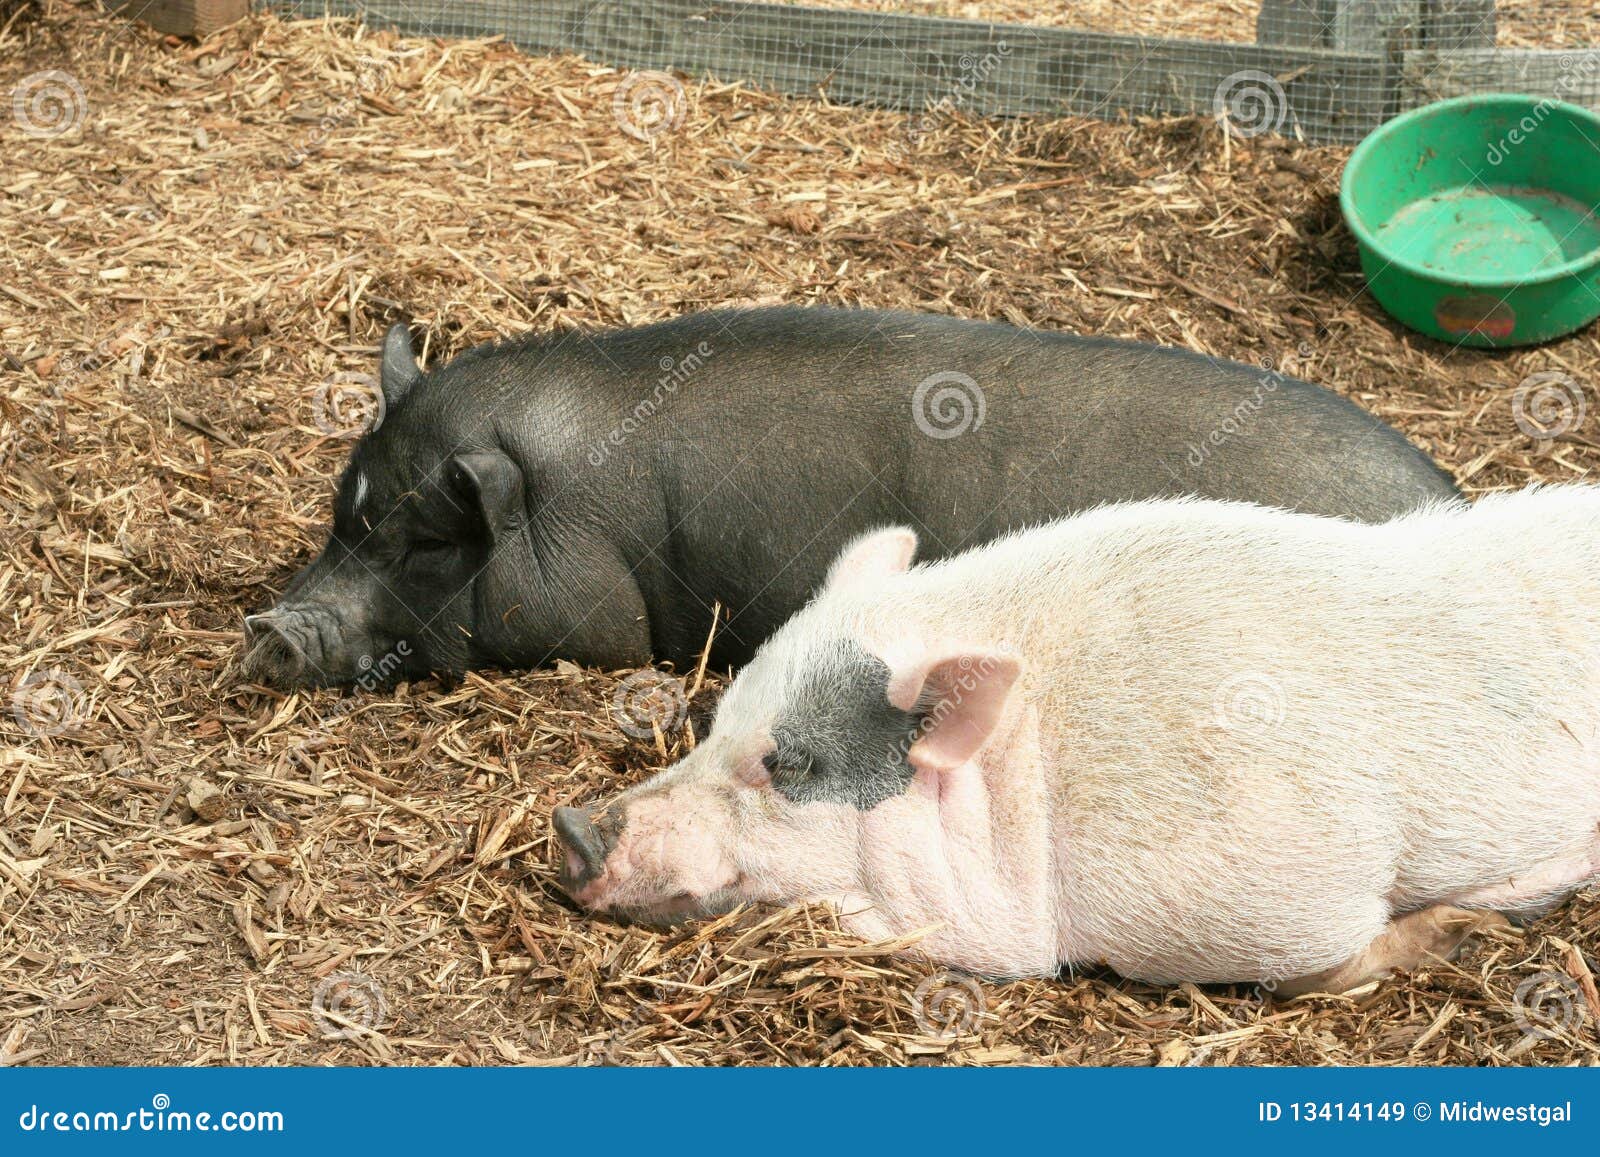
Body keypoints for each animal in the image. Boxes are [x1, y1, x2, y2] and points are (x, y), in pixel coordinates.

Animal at [554, 487, 1600, 991]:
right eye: (720, 717)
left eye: (791, 764)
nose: (571, 827)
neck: (1031, 771)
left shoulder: (1290, 887)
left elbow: (1324, 967)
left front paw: (1463, 931)